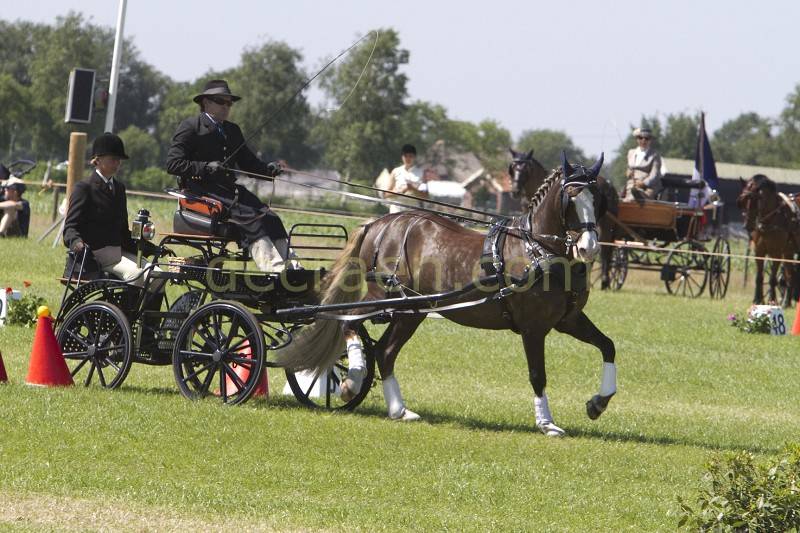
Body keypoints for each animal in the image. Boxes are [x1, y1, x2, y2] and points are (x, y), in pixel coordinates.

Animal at [279, 152, 617, 437]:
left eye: (598, 197)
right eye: (570, 198)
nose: (589, 247)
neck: (536, 248)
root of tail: (378, 223)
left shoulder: (567, 319)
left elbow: (608, 346)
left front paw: (598, 403)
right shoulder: (533, 328)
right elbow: (538, 374)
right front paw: (546, 423)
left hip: (409, 311)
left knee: (385, 351)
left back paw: (399, 409)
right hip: (382, 296)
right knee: (350, 322)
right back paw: (352, 381)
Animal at [737, 174, 799, 306]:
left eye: (757, 201)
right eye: (742, 201)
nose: (748, 226)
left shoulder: (776, 253)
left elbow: (772, 279)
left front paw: (772, 300)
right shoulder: (759, 251)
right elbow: (759, 277)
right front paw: (758, 300)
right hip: (788, 252)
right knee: (790, 275)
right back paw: (787, 301)